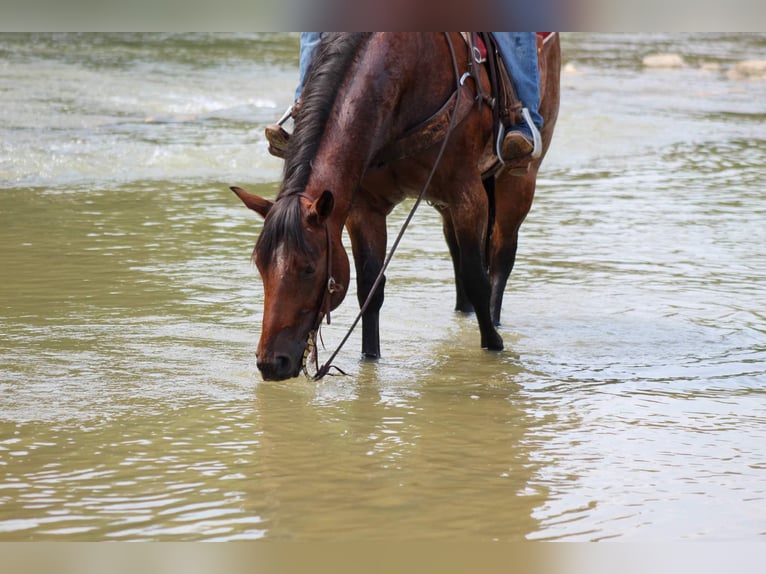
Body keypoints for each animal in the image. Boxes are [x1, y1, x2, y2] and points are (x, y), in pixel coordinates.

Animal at [232, 32, 560, 381]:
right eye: (260, 266)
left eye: (308, 268)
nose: (271, 362)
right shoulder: (365, 209)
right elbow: (370, 288)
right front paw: (370, 357)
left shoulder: (467, 195)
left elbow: (478, 279)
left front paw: (493, 347)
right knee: (457, 253)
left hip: (518, 179)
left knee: (500, 256)